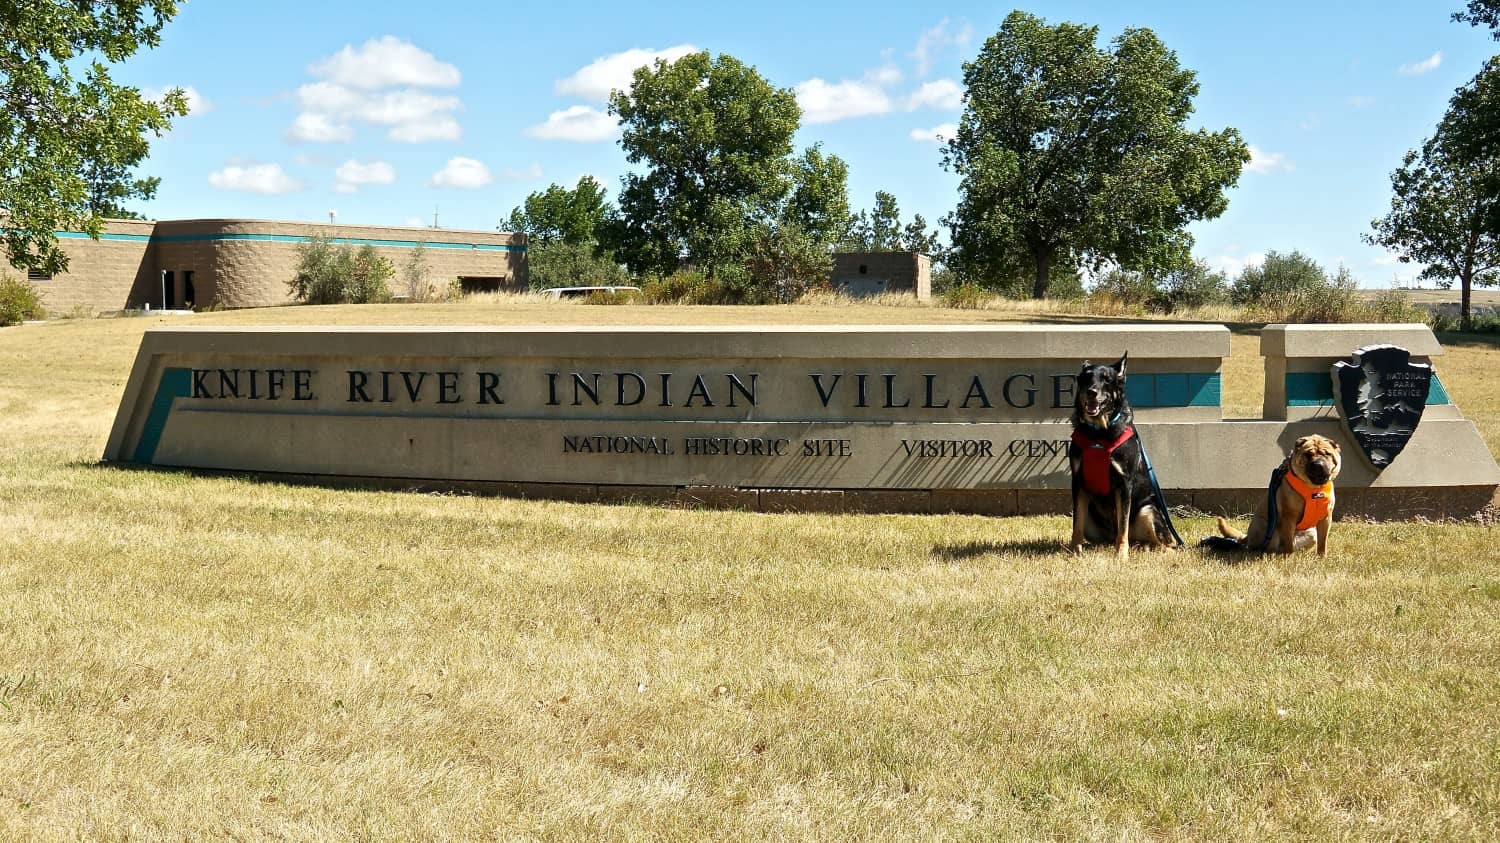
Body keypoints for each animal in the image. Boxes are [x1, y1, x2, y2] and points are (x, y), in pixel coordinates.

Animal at [1074, 352, 1176, 558]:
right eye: (1086, 378)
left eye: (1107, 379)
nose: (1091, 392)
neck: (1098, 434)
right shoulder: (1078, 481)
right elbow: (1076, 525)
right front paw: (1074, 552)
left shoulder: (1124, 483)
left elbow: (1123, 525)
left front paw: (1121, 555)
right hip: (1091, 516)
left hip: (1148, 511)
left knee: (1163, 544)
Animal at [1206, 429, 1350, 555]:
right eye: (1308, 454)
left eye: (1327, 454)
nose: (1318, 464)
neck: (1313, 488)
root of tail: (1246, 537)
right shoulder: (1289, 516)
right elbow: (1288, 542)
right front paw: (1289, 557)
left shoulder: (1326, 518)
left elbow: (1322, 542)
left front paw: (1321, 557)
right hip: (1265, 525)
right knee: (1267, 546)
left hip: (1311, 533)